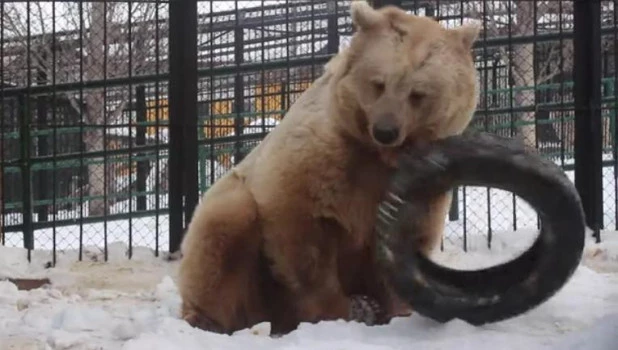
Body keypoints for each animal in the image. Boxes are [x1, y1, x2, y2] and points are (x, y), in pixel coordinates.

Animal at [176, 0, 478, 336]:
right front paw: (341, 309)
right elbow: (303, 234)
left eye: (418, 94)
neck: (380, 156)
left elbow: (409, 236)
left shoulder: (422, 179)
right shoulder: (322, 160)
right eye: (378, 83)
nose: (385, 130)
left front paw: (398, 308)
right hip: (236, 233)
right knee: (223, 231)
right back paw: (209, 319)